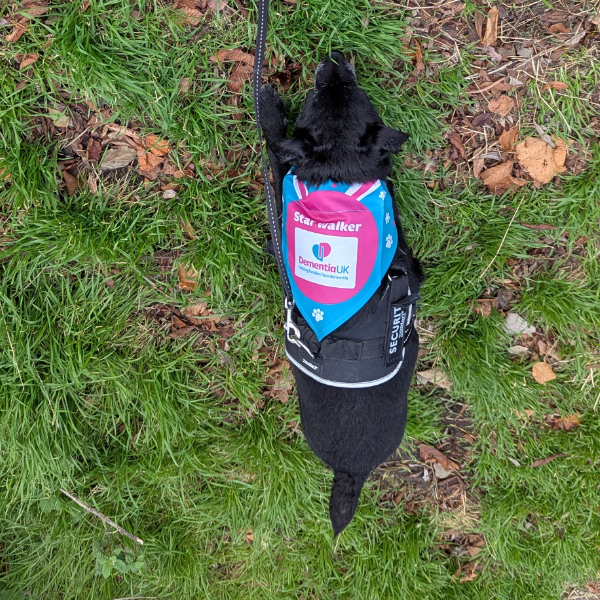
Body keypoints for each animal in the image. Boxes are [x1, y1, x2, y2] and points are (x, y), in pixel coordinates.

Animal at [259, 51, 423, 535]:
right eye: (333, 91)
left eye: (349, 89)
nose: (333, 58)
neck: (341, 173)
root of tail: (353, 470)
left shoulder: (283, 185)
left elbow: (275, 147)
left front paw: (268, 107)